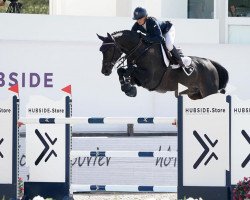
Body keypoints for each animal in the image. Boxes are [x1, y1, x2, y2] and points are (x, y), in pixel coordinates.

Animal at [97, 29, 229, 100]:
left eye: (109, 50)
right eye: (101, 50)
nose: (105, 71)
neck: (140, 50)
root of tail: (210, 63)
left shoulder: (149, 79)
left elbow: (130, 70)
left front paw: (128, 88)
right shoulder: (138, 79)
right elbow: (123, 71)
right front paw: (128, 88)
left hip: (208, 91)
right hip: (195, 95)